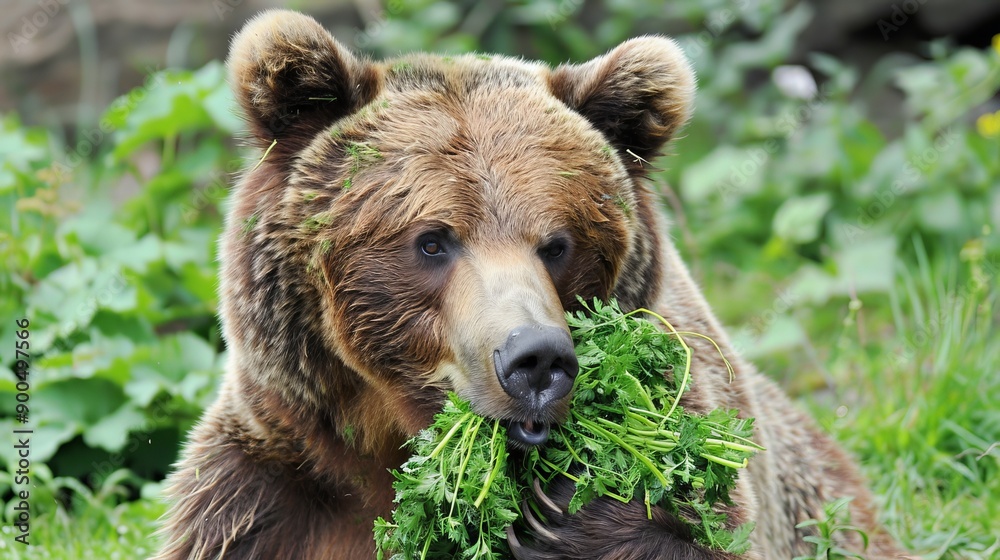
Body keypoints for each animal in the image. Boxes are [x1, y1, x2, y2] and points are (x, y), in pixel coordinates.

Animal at [155, 9, 907, 560]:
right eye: (433, 240)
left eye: (557, 244)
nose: (535, 358)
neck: (392, 445)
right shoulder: (268, 494)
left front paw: (568, 508)